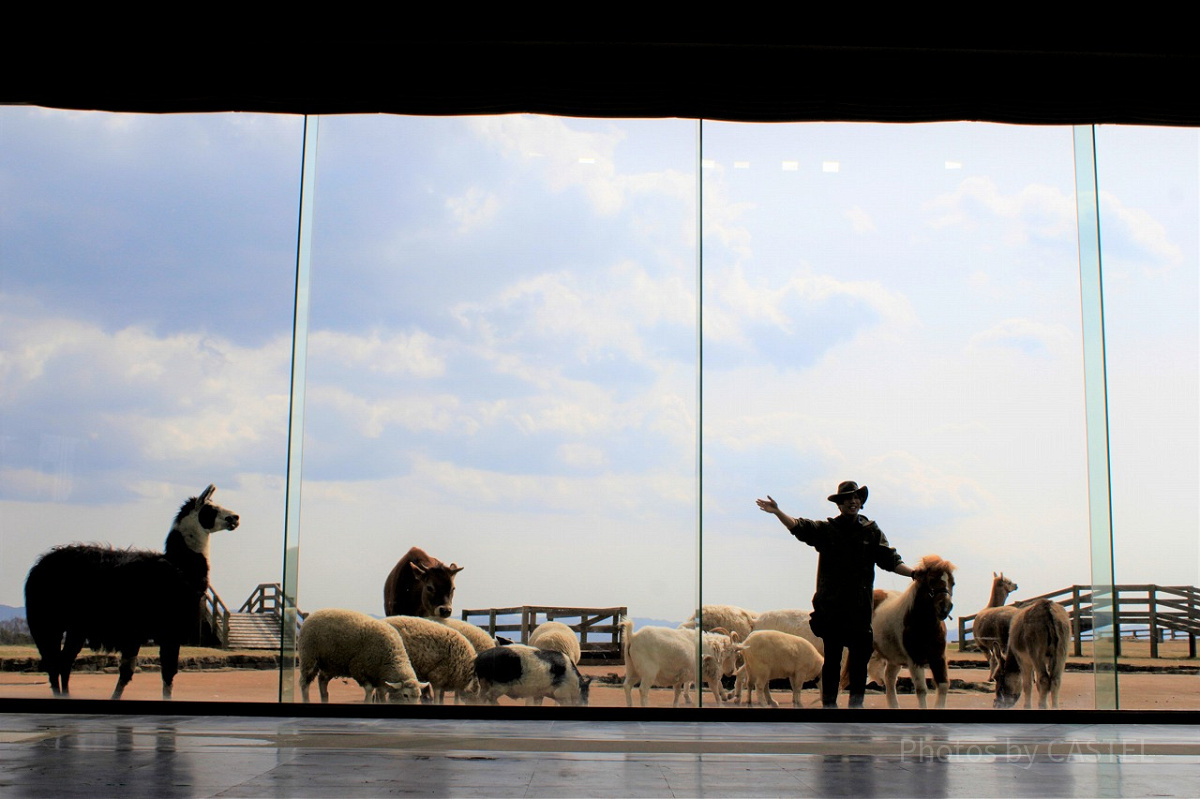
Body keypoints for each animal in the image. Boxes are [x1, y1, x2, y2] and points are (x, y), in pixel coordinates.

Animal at [24, 479, 238, 695]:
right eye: (210, 509)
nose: (235, 518)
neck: (179, 567)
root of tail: (38, 567)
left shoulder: (141, 634)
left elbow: (132, 674)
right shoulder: (163, 631)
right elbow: (164, 675)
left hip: (75, 628)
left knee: (64, 663)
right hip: (46, 621)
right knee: (53, 664)